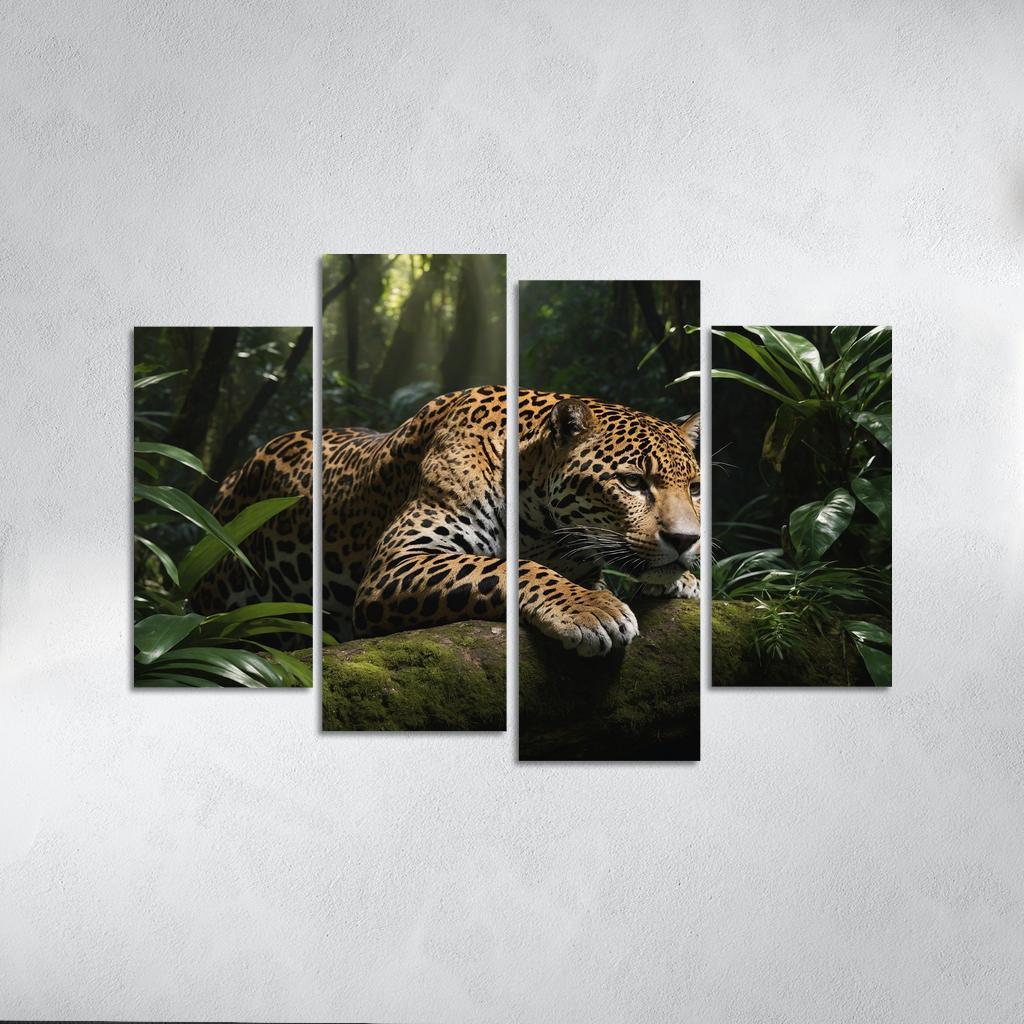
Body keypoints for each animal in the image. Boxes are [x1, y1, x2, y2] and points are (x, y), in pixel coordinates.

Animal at [192, 386, 700, 657]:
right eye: (632, 482)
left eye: (694, 487)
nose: (687, 540)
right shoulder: (398, 562)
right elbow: (510, 567)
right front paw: (590, 609)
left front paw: (680, 581)